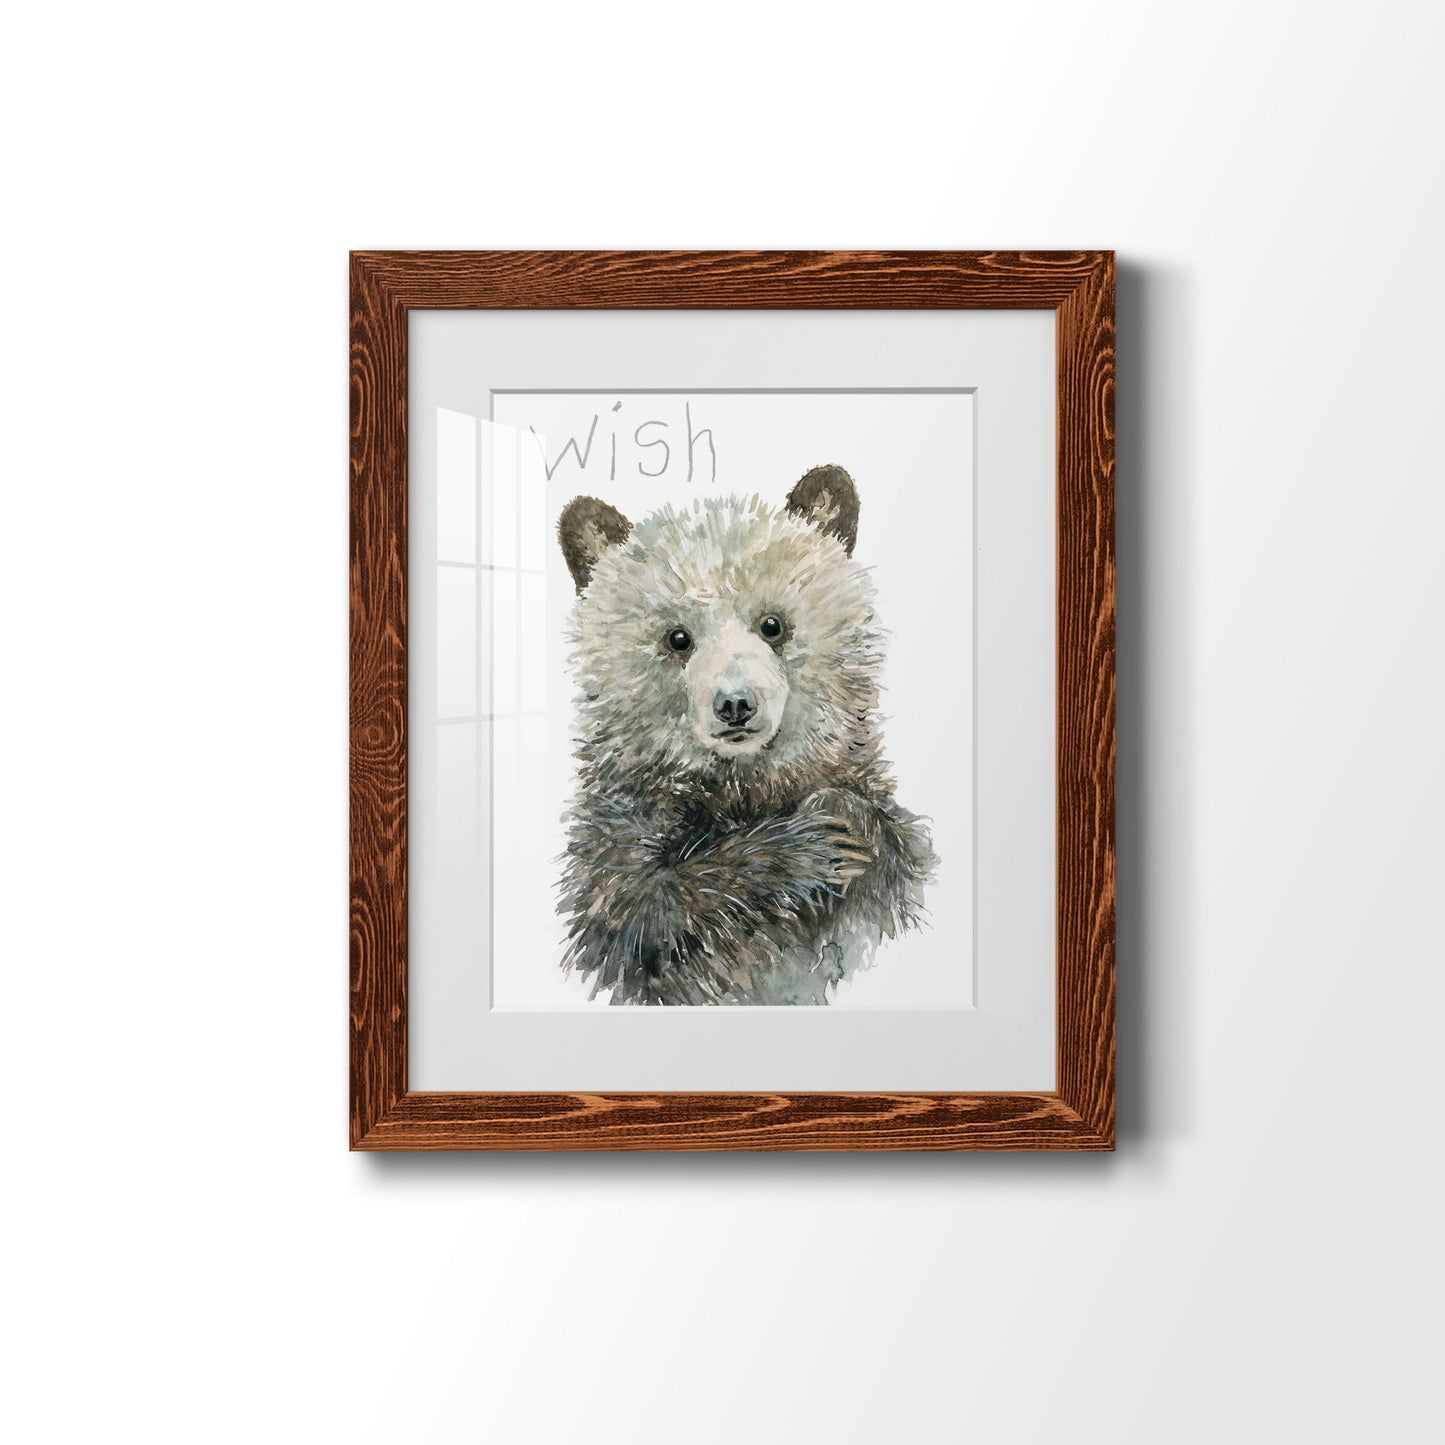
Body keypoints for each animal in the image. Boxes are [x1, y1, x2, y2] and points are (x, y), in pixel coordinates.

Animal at [555, 464, 938, 1006]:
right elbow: (638, 910)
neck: (745, 785)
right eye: (677, 638)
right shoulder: (621, 816)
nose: (735, 704)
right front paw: (815, 842)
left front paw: (852, 818)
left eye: (773, 624)